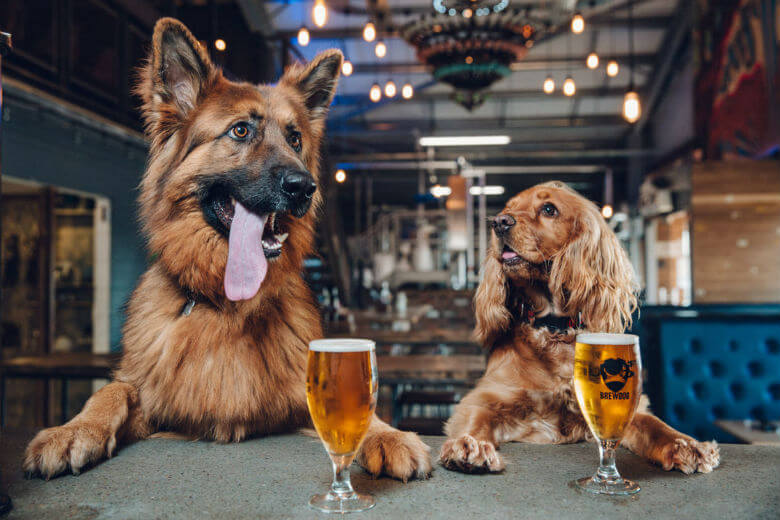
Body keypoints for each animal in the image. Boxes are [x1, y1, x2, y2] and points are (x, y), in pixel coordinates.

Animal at [22, 18, 432, 482]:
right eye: (241, 130)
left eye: (295, 139)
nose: (304, 187)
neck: (226, 305)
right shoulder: (154, 397)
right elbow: (112, 390)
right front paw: (73, 430)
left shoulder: (301, 398)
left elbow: (360, 408)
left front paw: (388, 435)